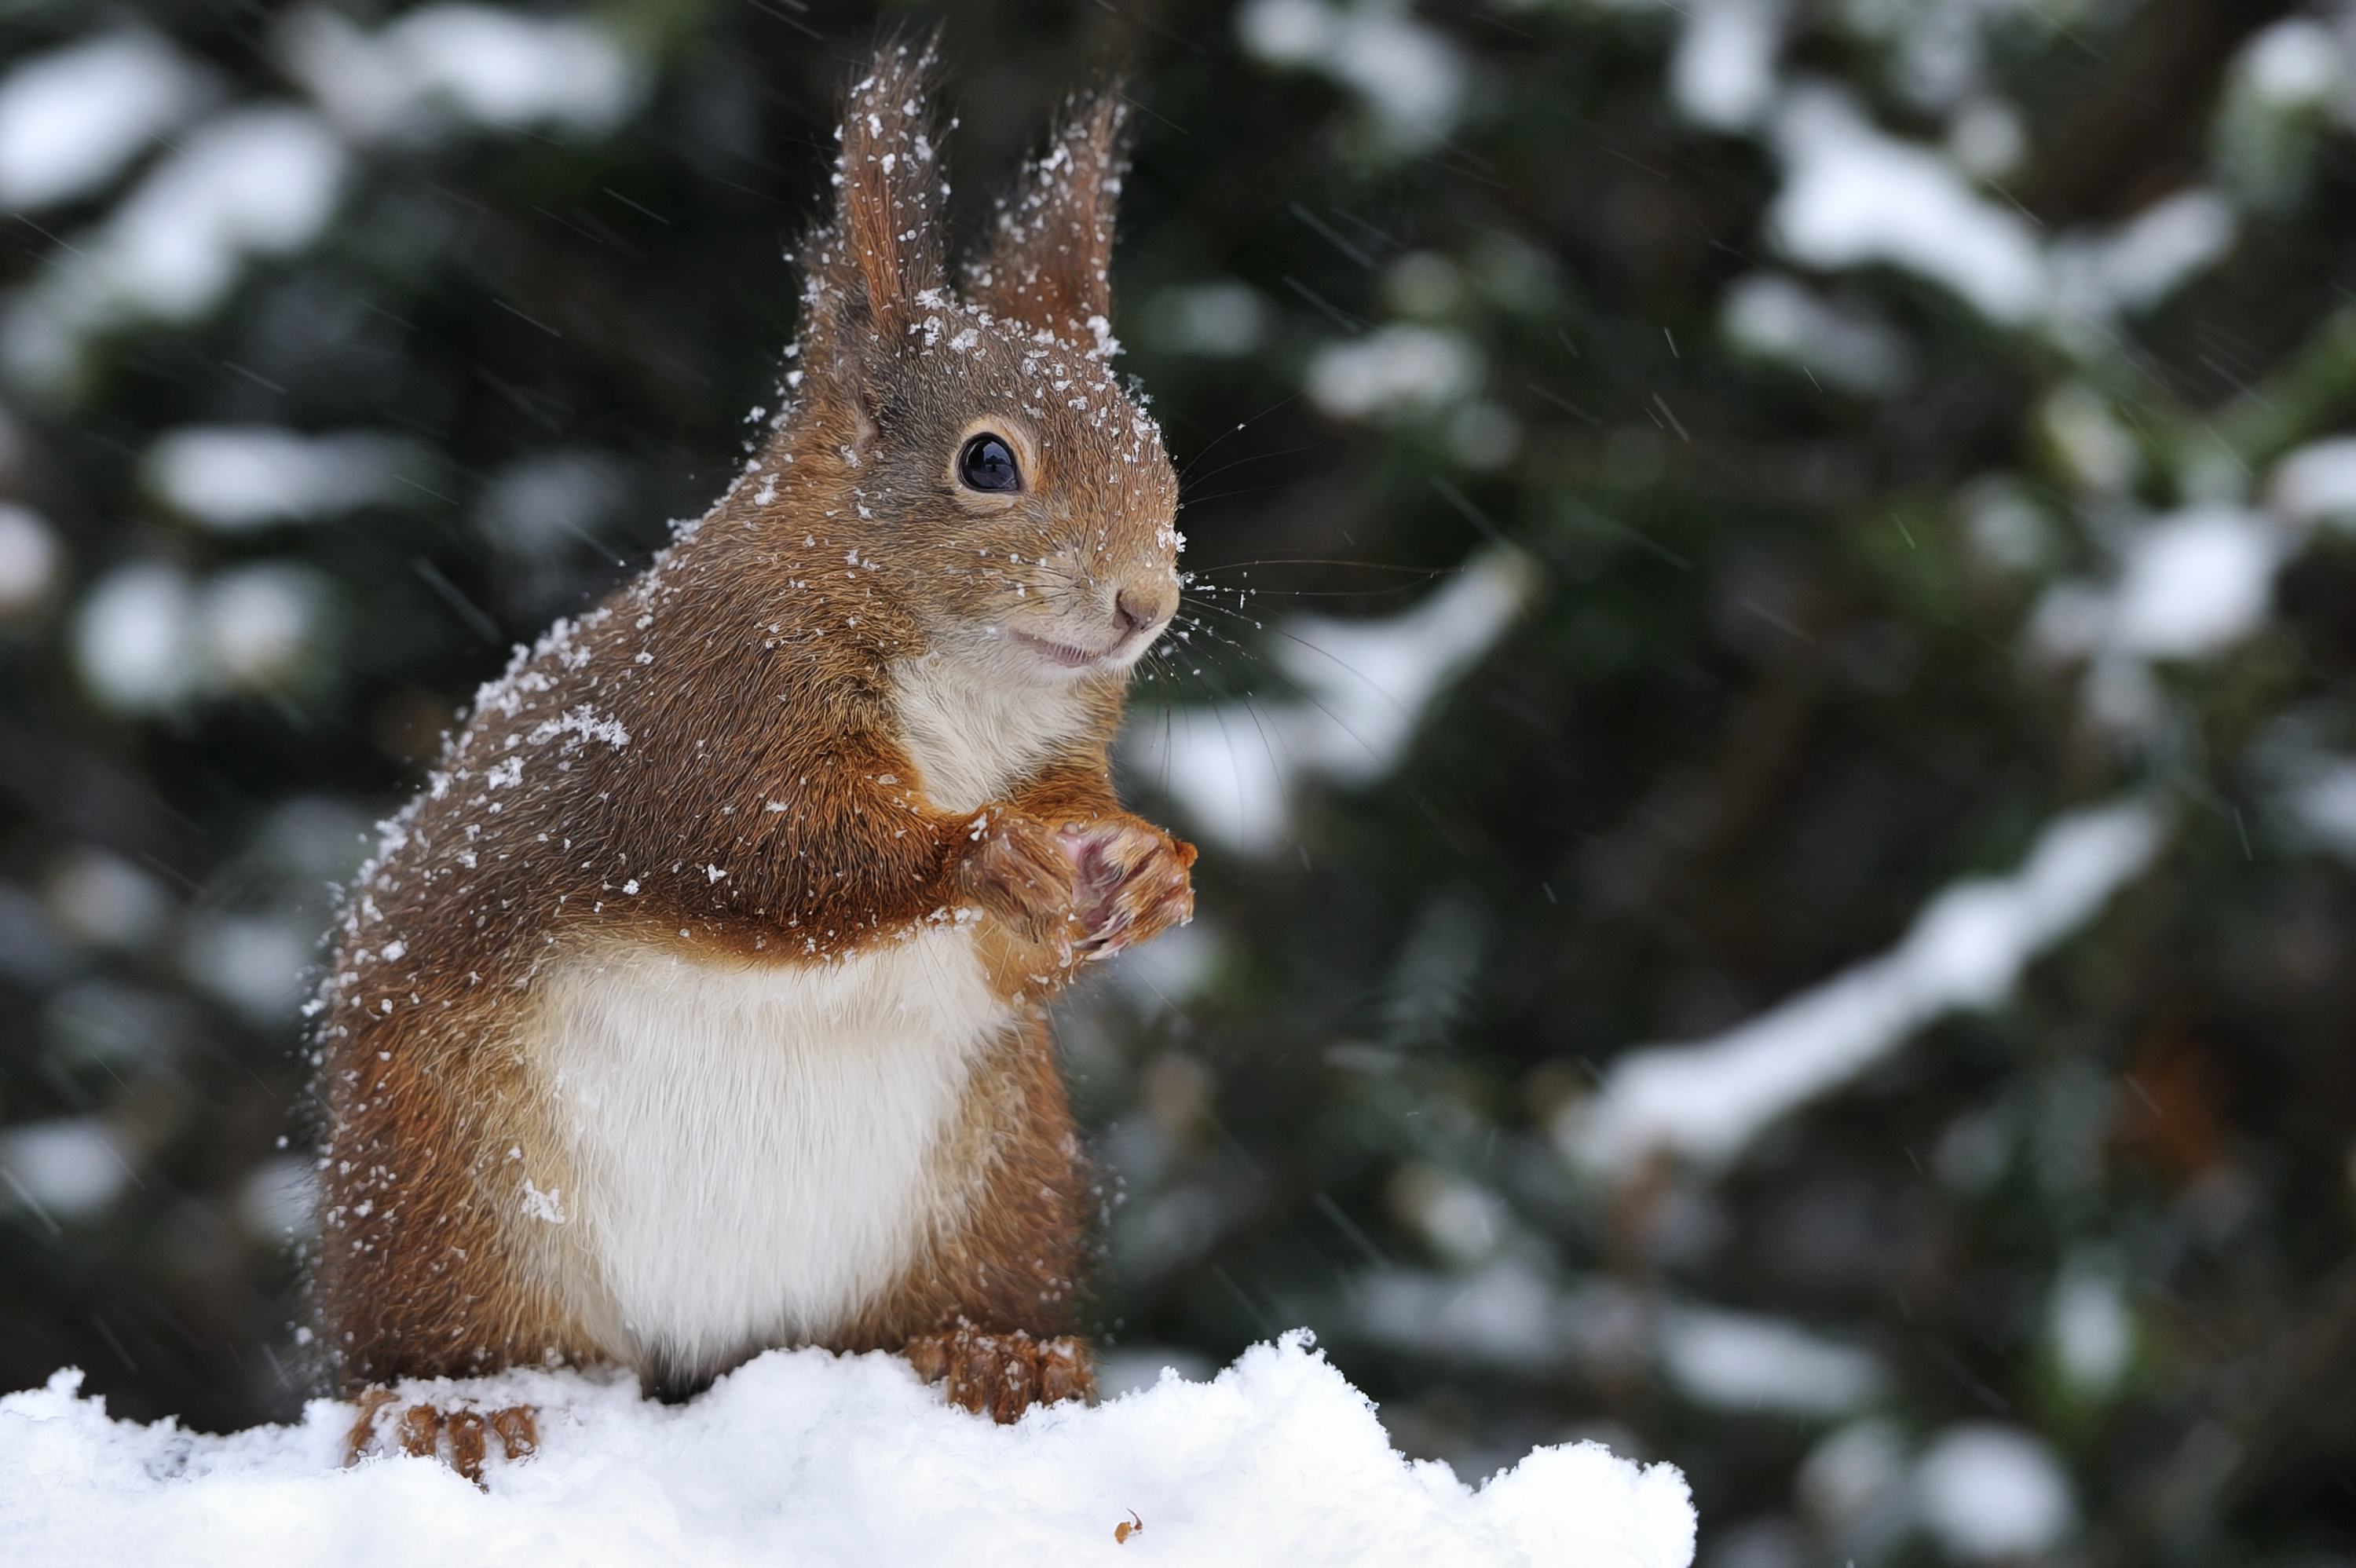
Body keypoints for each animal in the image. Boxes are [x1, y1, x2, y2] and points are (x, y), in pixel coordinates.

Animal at [313, 42, 1197, 1469]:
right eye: (987, 461)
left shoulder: (1058, 766)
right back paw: (457, 1403)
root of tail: (716, 1345)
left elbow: (1024, 942)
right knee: (455, 1338)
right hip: (445, 1194)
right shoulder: (710, 721)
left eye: (1151, 443)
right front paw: (979, 851)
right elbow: (772, 862)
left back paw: (994, 1353)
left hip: (998, 1186)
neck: (971, 695)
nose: (1143, 603)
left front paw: (1154, 870)